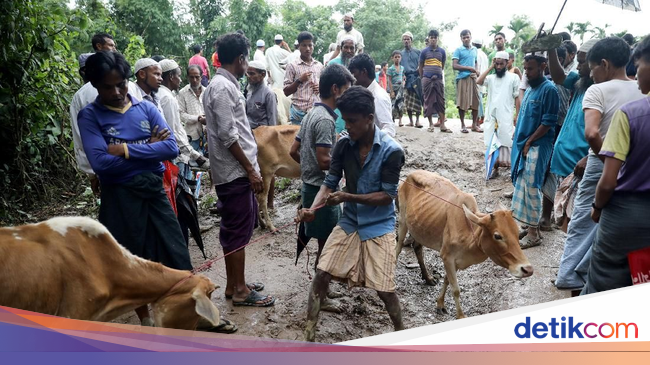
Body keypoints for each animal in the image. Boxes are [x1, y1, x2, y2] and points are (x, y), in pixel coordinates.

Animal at [394, 169, 532, 318]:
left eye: (517, 233)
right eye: (497, 236)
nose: (527, 269)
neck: (470, 234)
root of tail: (410, 175)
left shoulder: (455, 261)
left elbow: (447, 280)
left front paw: (440, 303)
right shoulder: (447, 257)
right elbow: (456, 289)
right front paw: (460, 315)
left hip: (419, 228)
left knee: (417, 247)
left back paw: (428, 278)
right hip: (402, 221)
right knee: (397, 247)